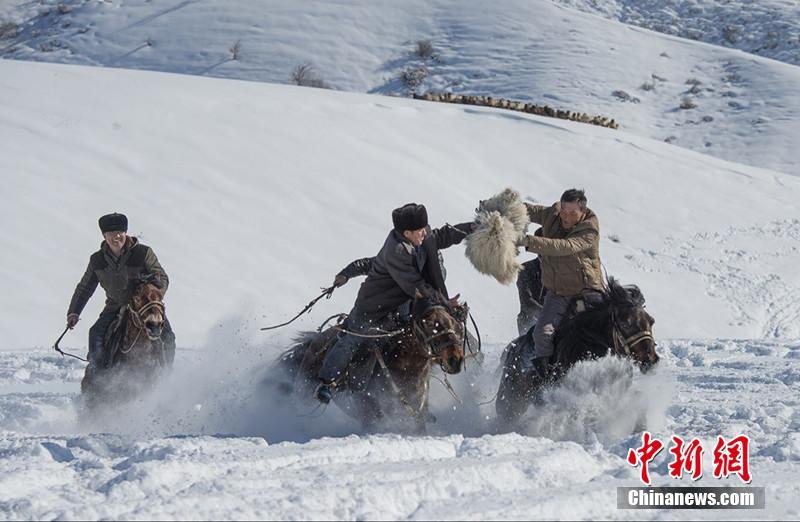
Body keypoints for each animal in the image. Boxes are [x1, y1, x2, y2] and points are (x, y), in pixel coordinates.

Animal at [276, 288, 468, 430]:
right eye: (428, 322)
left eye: (454, 323)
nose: (455, 359)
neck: (405, 369)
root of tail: (314, 340)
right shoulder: (371, 416)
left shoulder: (416, 417)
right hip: (303, 390)